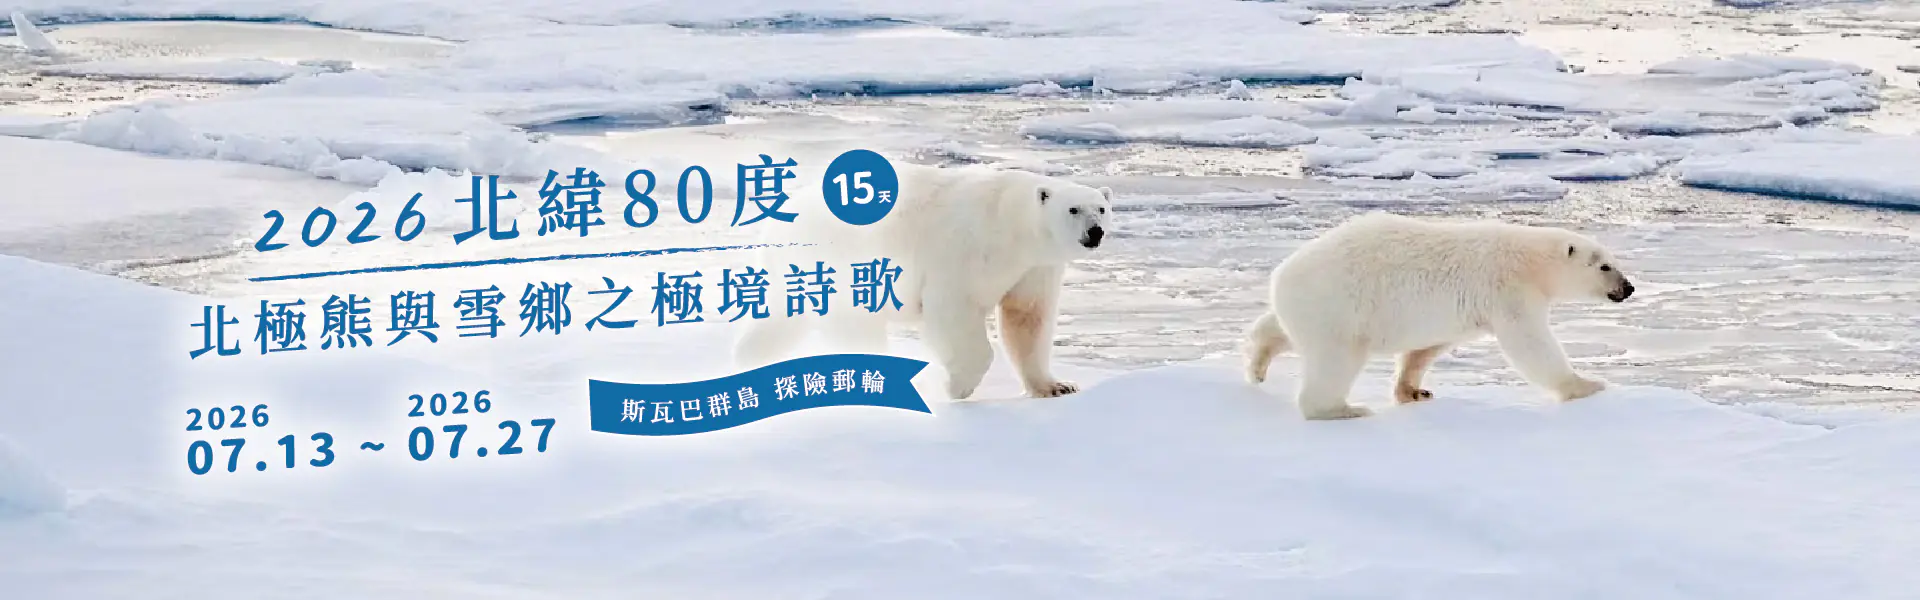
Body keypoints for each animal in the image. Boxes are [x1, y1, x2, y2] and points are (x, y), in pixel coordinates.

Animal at [732, 162, 1114, 400]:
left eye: (1101, 208)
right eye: (1073, 209)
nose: (1095, 232)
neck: (1012, 224)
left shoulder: (1035, 266)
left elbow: (1026, 318)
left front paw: (1057, 386)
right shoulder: (967, 248)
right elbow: (954, 309)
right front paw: (956, 387)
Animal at [1242, 211, 1635, 420]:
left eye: (1614, 261)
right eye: (1605, 266)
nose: (1629, 288)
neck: (1532, 261)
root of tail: (1282, 276)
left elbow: (1427, 347)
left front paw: (1413, 391)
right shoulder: (1509, 291)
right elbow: (1531, 343)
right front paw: (1587, 385)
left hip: (1312, 308)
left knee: (1277, 328)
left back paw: (1258, 362)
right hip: (1341, 308)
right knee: (1334, 362)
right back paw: (1344, 409)